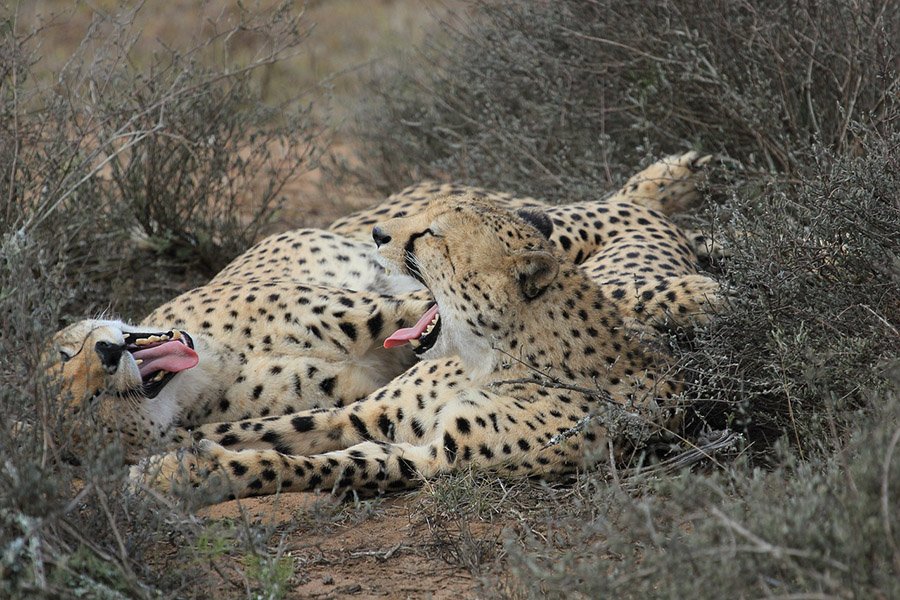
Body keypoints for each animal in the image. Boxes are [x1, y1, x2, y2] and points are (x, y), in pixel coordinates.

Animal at [137, 195, 692, 504]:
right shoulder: (363, 413)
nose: (378, 233)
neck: (489, 360)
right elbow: (257, 429)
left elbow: (313, 463)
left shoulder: (433, 459)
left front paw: (182, 473)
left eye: (432, 234)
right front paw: (159, 457)